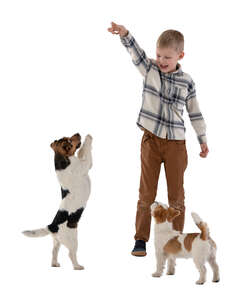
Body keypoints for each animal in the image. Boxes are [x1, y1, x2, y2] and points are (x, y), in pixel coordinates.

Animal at [22, 133, 92, 270]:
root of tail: (52, 226)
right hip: (73, 241)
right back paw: (77, 266)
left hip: (57, 241)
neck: (63, 160)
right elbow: (87, 152)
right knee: (71, 254)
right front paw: (88, 138)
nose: (78, 133)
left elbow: (82, 152)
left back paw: (54, 263)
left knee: (54, 251)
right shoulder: (84, 165)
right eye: (69, 141)